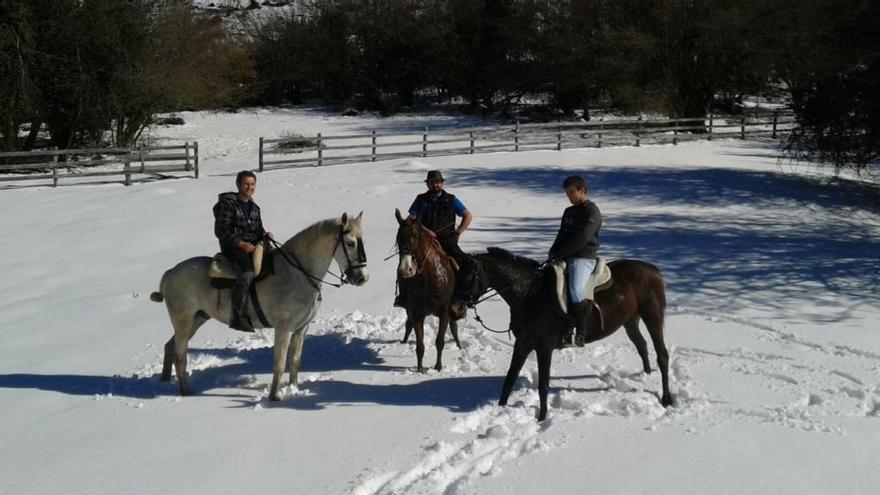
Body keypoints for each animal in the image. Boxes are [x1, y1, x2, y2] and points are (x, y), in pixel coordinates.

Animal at [151, 211, 368, 402]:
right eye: (350, 243)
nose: (362, 278)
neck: (297, 274)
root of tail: (170, 273)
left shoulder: (301, 328)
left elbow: (295, 360)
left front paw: (293, 389)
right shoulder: (284, 328)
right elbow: (279, 363)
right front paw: (275, 397)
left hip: (197, 319)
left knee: (170, 347)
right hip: (184, 322)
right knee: (181, 356)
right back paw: (186, 392)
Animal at [398, 209, 464, 372]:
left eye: (416, 235)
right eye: (398, 237)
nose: (406, 269)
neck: (429, 279)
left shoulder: (444, 312)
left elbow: (440, 341)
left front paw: (438, 366)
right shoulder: (417, 313)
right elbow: (419, 346)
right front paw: (420, 369)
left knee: (454, 327)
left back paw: (459, 346)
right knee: (408, 325)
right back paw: (403, 341)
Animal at [478, 248, 672, 422]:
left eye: (471, 273)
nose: (467, 305)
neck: (529, 294)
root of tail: (653, 269)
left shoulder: (544, 347)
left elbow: (543, 384)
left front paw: (542, 418)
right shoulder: (522, 343)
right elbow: (510, 378)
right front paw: (501, 409)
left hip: (652, 316)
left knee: (662, 355)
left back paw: (666, 399)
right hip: (630, 320)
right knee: (642, 345)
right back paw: (646, 377)